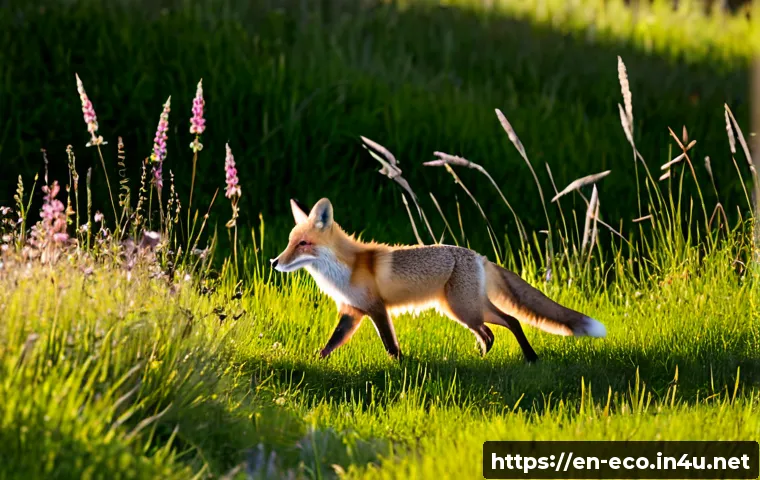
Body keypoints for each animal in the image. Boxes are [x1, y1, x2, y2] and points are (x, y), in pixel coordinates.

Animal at [270, 198, 606, 363]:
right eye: (289, 242)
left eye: (303, 244)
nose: (274, 262)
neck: (343, 271)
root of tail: (479, 256)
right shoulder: (352, 313)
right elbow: (330, 345)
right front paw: (314, 362)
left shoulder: (376, 308)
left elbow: (390, 345)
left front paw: (401, 367)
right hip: (463, 310)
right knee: (490, 333)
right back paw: (483, 358)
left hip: (465, 309)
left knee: (510, 321)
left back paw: (530, 357)